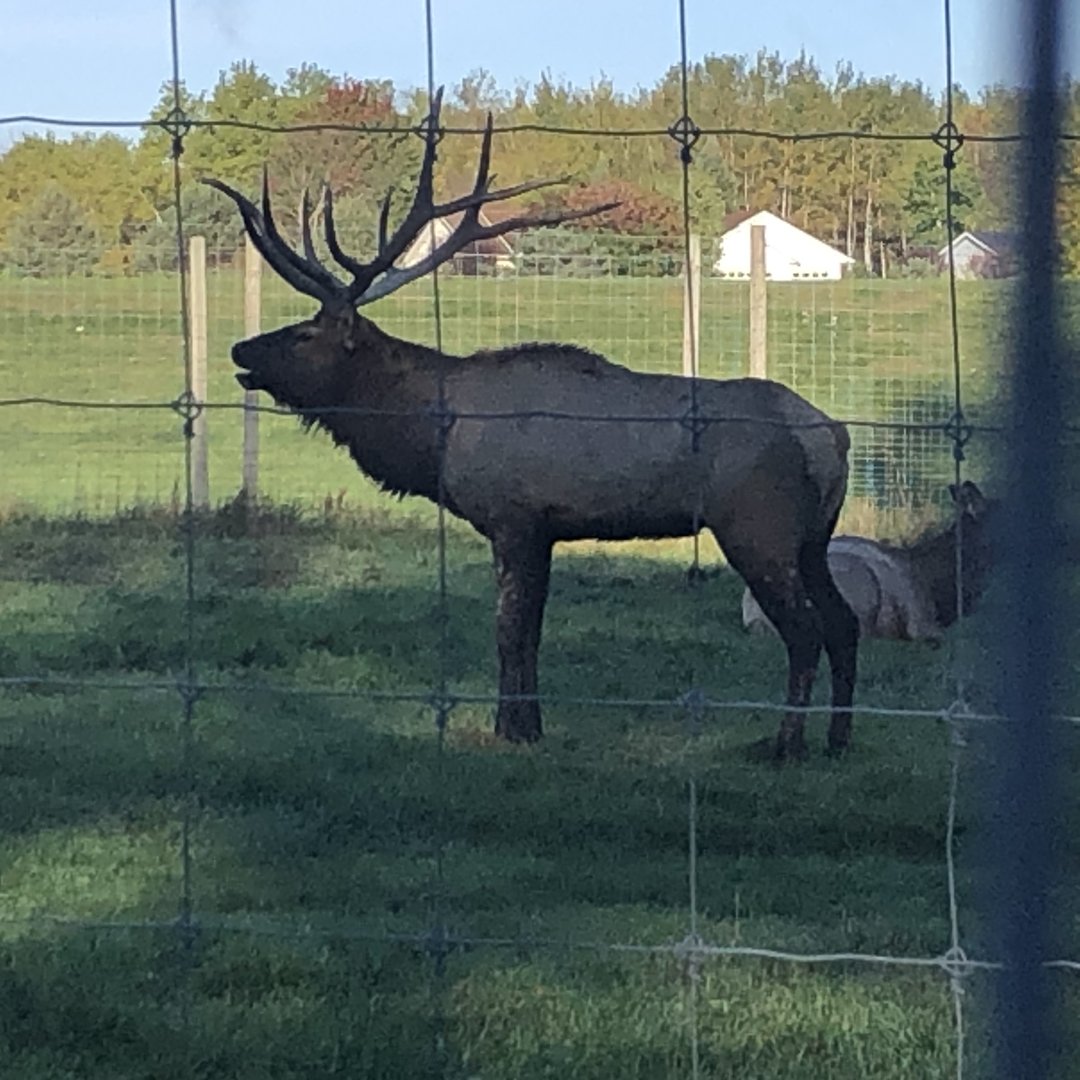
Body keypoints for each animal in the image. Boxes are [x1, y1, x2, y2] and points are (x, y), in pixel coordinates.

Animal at [204, 89, 859, 762]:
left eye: (306, 334)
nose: (240, 348)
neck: (435, 435)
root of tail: (832, 437)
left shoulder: (512, 517)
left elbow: (508, 631)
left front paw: (509, 729)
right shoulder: (544, 530)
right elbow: (533, 633)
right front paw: (532, 724)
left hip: (757, 527)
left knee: (805, 630)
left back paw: (786, 743)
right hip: (813, 537)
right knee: (846, 623)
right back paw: (837, 739)